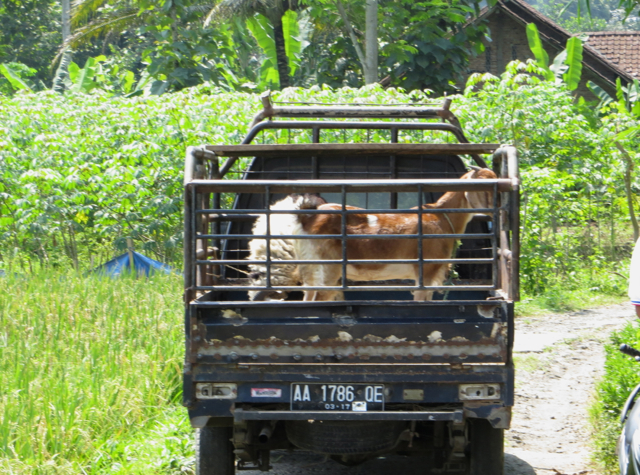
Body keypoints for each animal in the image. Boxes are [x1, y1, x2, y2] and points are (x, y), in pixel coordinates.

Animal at [292, 168, 498, 302]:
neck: (441, 217)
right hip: (328, 267)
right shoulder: (426, 270)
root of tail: (307, 218)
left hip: (310, 268)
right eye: (484, 185)